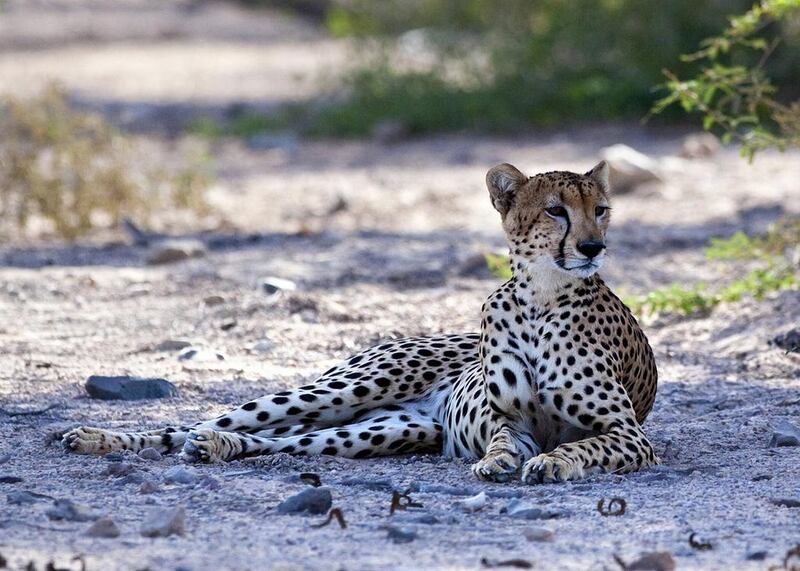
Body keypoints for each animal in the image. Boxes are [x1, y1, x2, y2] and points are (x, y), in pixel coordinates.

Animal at [64, 161, 664, 482]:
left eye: (601, 210)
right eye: (555, 210)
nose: (592, 247)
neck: (541, 297)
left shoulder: (629, 435)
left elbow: (582, 445)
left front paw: (553, 463)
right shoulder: (509, 421)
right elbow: (502, 442)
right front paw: (501, 463)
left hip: (383, 429)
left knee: (276, 441)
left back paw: (216, 449)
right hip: (347, 389)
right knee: (197, 423)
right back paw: (96, 437)